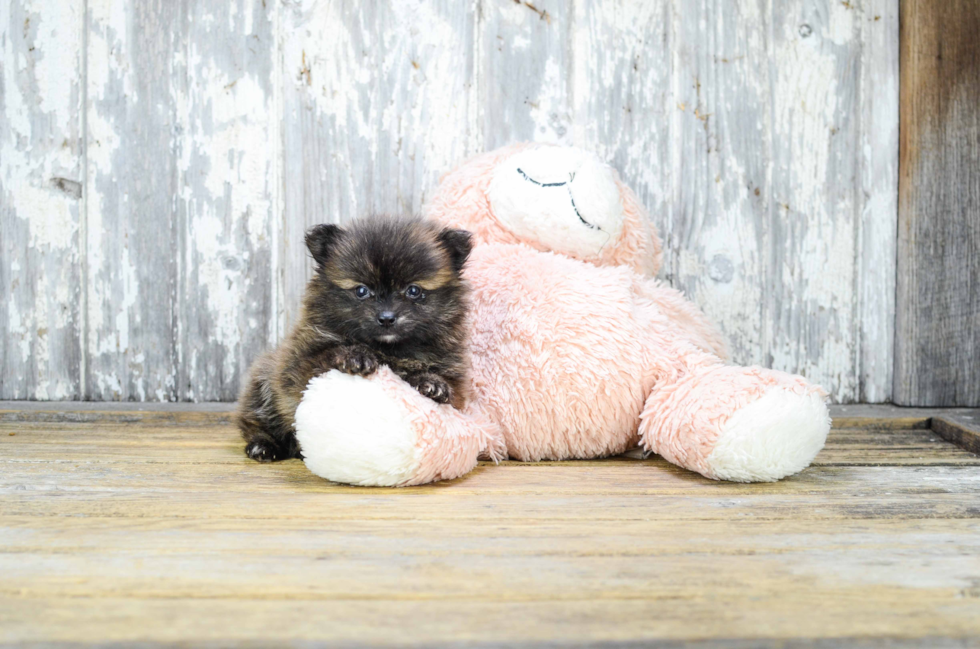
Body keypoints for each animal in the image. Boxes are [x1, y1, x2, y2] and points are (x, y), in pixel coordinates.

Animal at [234, 216, 470, 460]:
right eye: (361, 291)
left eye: (413, 290)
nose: (387, 318)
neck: (387, 349)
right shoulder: (299, 366)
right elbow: (326, 356)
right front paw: (355, 356)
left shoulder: (454, 380)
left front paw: (433, 383)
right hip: (263, 384)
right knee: (254, 421)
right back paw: (263, 446)